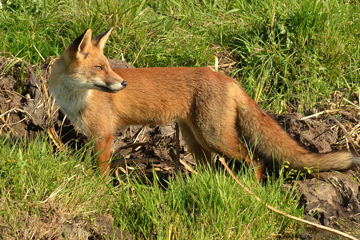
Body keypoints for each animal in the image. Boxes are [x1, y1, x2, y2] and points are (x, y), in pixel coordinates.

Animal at [48, 28, 360, 181]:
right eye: (100, 68)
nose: (123, 84)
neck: (76, 97)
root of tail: (226, 76)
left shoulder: (103, 135)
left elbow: (100, 172)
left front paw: (100, 190)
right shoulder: (94, 136)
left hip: (214, 136)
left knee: (256, 160)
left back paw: (251, 189)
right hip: (196, 139)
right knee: (212, 168)